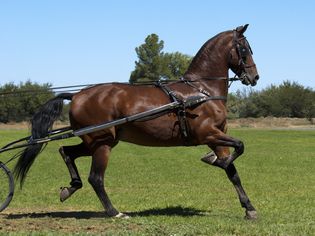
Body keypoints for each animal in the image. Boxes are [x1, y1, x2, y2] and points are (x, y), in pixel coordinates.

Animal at [12, 24, 260, 218]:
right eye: (244, 49)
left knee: (66, 151)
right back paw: (114, 212)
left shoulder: (216, 137)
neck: (200, 91)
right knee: (96, 178)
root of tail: (77, 95)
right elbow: (239, 148)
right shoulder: (208, 133)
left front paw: (249, 208)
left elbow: (233, 172)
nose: (255, 77)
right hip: (102, 144)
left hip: (96, 142)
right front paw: (215, 161)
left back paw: (71, 188)